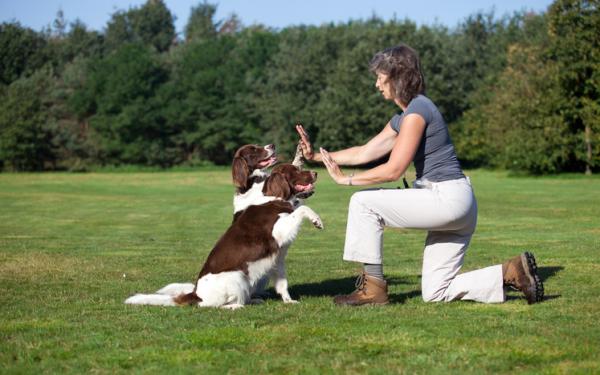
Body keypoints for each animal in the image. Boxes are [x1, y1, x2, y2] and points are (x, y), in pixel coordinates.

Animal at [125, 164, 324, 308]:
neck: (274, 198)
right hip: (237, 275)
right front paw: (317, 220)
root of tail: (196, 293)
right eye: (296, 170)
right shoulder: (278, 230)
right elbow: (301, 209)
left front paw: (289, 301)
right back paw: (237, 306)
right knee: (215, 305)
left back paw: (253, 300)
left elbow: (282, 284)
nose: (315, 172)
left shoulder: (278, 260)